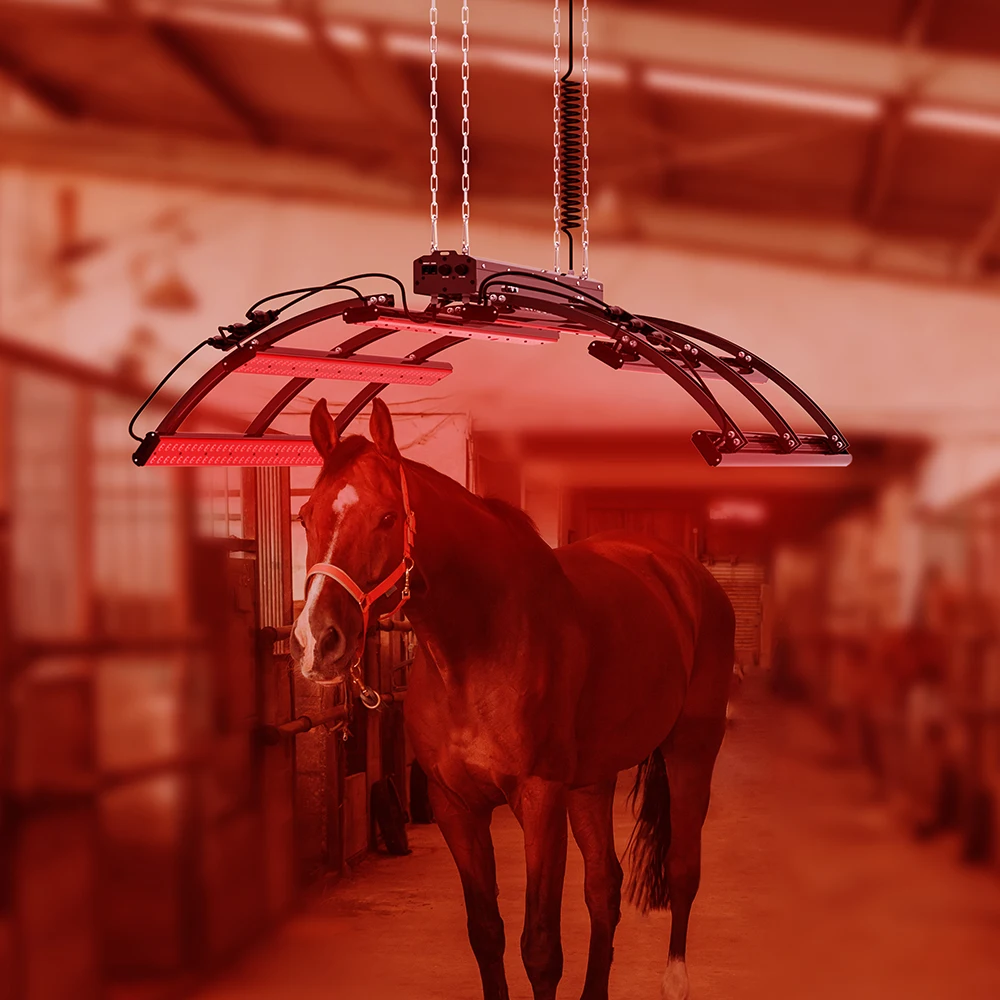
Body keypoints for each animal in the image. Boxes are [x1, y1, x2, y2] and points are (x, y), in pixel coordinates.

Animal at [290, 398, 735, 1000]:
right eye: (305, 516)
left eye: (387, 517)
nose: (318, 640)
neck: (478, 645)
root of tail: (686, 574)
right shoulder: (456, 806)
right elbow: (487, 932)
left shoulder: (539, 797)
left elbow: (540, 947)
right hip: (591, 782)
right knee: (604, 886)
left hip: (691, 751)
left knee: (684, 870)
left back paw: (675, 981)